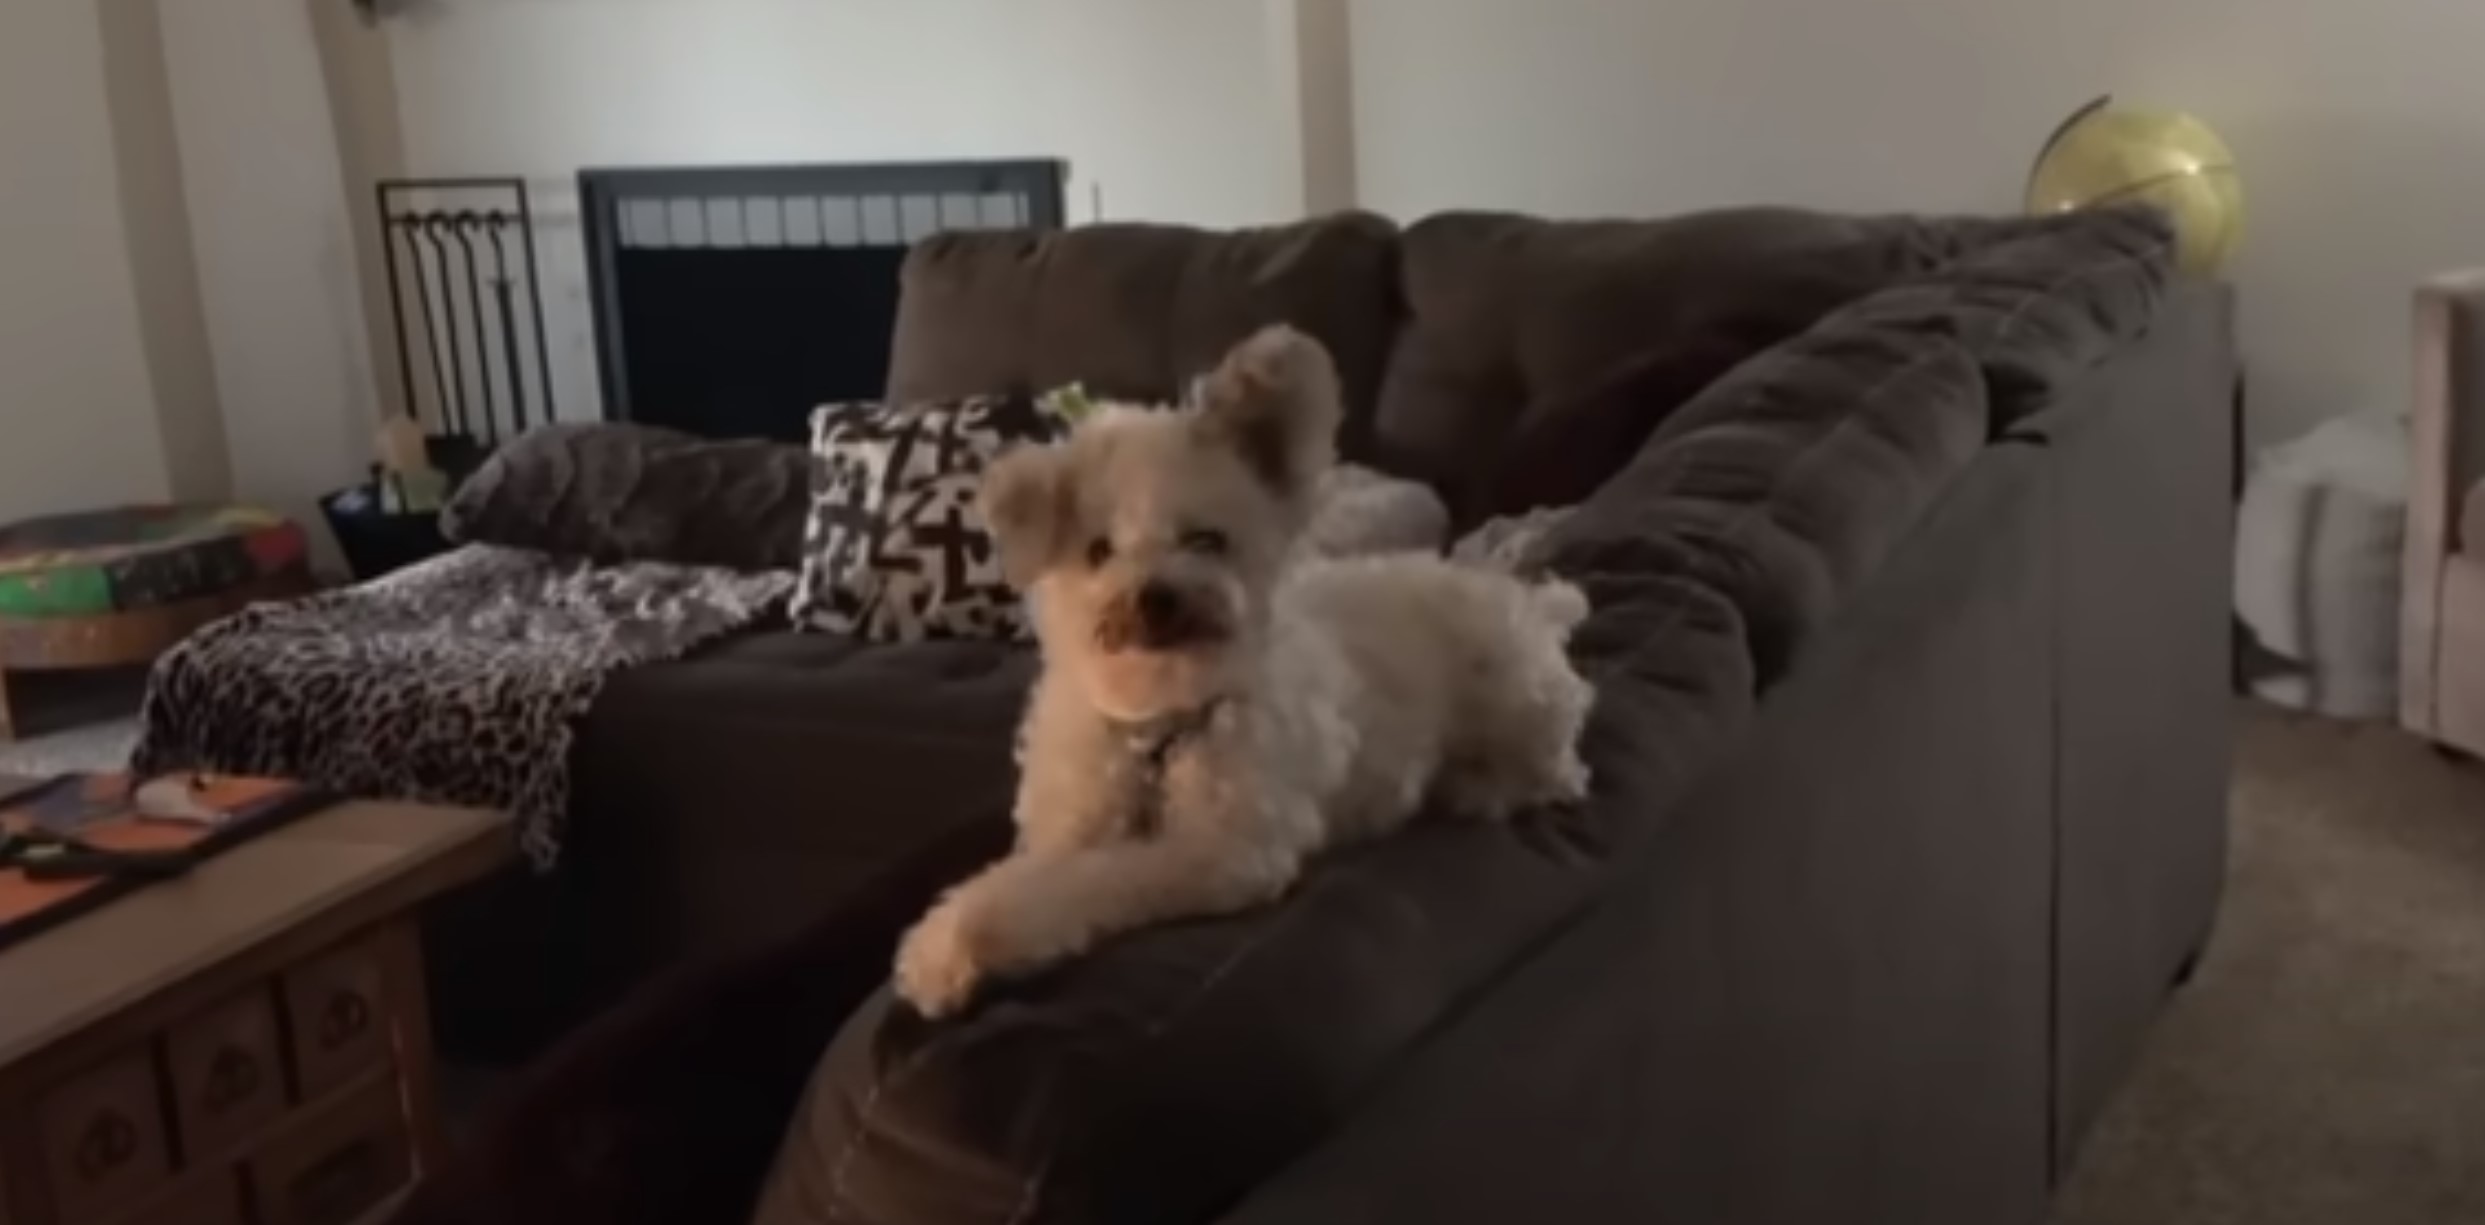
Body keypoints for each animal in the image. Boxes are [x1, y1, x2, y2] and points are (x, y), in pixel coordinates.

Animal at [894, 323, 1590, 1013]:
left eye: (1206, 540)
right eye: (1098, 550)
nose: (1153, 597)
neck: (1157, 723)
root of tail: (1532, 605)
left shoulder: (1222, 853)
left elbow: (1094, 881)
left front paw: (973, 936)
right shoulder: (1071, 821)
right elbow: (1025, 872)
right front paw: (944, 940)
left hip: (1512, 693)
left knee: (1555, 771)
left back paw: (1473, 784)